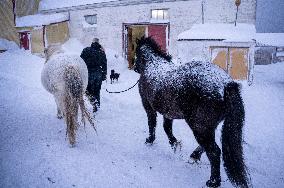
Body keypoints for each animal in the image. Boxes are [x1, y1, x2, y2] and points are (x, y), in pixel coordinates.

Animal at [134, 36, 250, 187]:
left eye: (136, 53)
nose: (135, 68)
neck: (152, 65)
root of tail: (225, 85)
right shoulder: (168, 113)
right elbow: (167, 128)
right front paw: (175, 144)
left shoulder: (149, 108)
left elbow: (152, 124)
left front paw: (150, 140)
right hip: (206, 127)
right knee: (205, 146)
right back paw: (194, 157)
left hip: (199, 127)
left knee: (214, 151)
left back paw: (213, 181)